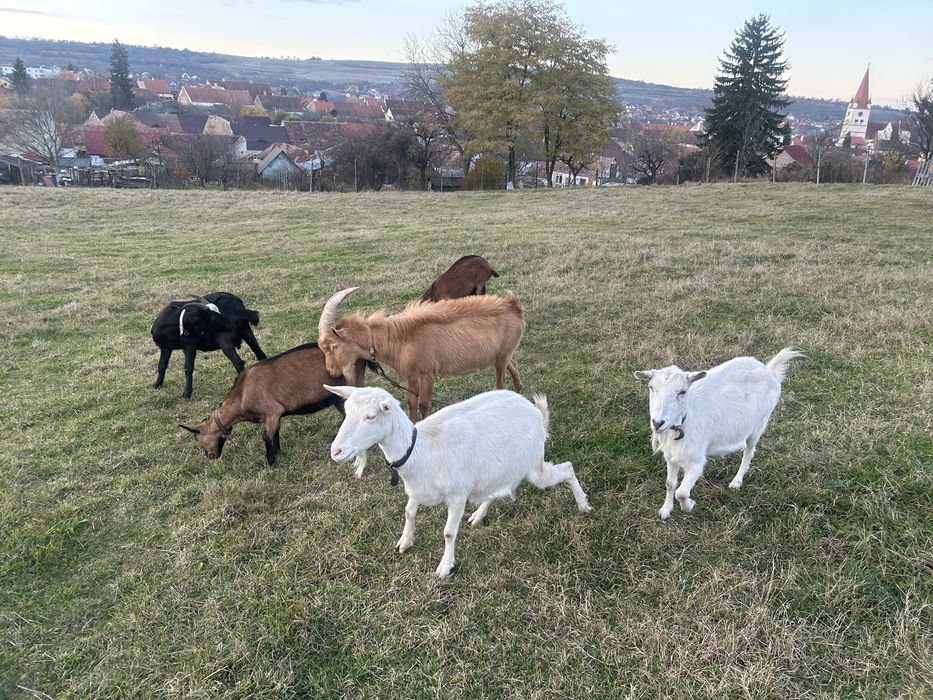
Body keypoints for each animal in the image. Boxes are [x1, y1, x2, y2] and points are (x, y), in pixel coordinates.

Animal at [179, 342, 369, 471]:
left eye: (199, 439)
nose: (210, 456)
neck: (242, 393)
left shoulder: (271, 411)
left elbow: (266, 437)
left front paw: (269, 463)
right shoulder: (273, 417)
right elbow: (275, 433)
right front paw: (277, 453)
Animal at [317, 287, 524, 420]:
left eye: (333, 346)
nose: (331, 372)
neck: (400, 337)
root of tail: (514, 307)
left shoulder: (427, 373)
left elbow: (424, 404)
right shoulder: (411, 375)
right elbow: (412, 402)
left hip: (501, 357)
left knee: (499, 382)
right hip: (502, 354)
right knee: (513, 365)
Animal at [324, 385, 592, 578]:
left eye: (371, 416)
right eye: (346, 412)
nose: (336, 451)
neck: (420, 450)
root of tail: (536, 411)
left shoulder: (457, 495)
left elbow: (448, 533)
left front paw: (445, 567)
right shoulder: (417, 491)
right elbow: (409, 513)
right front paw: (405, 542)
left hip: (534, 466)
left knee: (567, 468)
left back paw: (583, 505)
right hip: (496, 469)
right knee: (497, 490)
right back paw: (479, 515)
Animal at [634, 347, 804, 520]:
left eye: (682, 392)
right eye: (651, 387)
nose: (657, 423)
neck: (686, 419)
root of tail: (769, 370)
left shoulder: (697, 462)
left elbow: (681, 492)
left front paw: (689, 506)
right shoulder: (671, 456)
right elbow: (670, 484)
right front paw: (665, 510)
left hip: (760, 423)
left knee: (749, 452)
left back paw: (736, 482)